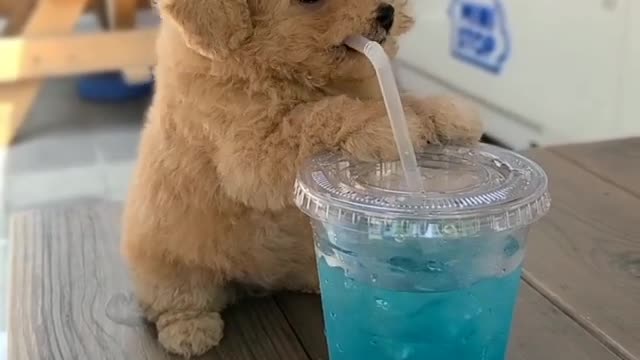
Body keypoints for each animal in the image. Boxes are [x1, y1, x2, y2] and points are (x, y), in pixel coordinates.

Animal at [121, 0, 480, 356]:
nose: (388, 13)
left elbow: (396, 99)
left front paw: (445, 114)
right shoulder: (251, 152)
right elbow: (319, 117)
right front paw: (382, 126)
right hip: (169, 270)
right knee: (178, 300)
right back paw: (189, 331)